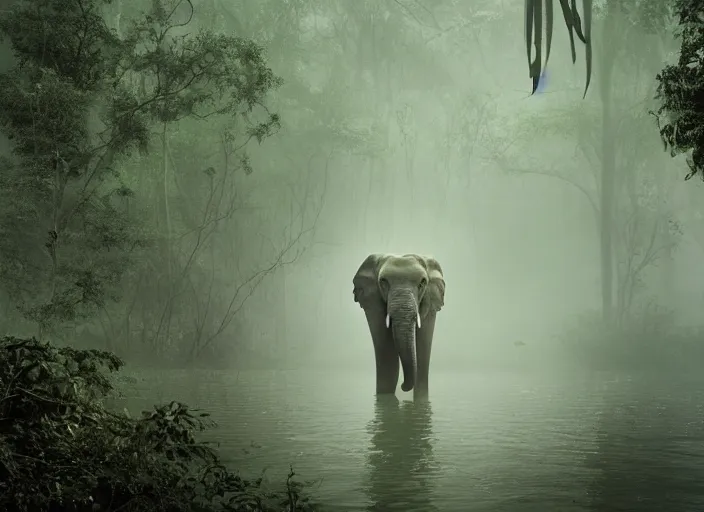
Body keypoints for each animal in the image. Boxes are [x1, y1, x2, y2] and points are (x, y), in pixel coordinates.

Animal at [352, 254, 446, 402]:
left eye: (422, 283)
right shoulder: (373, 302)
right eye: (383, 281)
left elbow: (422, 354)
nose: (402, 386)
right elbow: (387, 357)